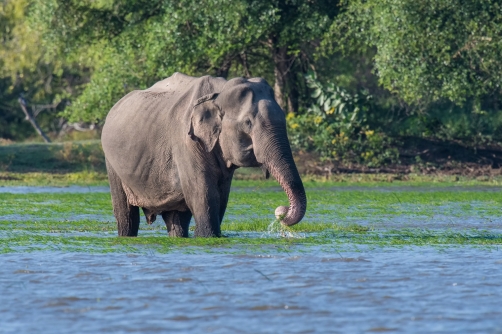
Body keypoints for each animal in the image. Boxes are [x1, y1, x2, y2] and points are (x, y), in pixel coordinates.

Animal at [101, 72, 306, 237]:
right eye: (248, 123)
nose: (281, 211)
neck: (220, 92)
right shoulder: (186, 142)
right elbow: (204, 193)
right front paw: (207, 236)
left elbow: (221, 196)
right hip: (112, 164)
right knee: (126, 214)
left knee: (176, 219)